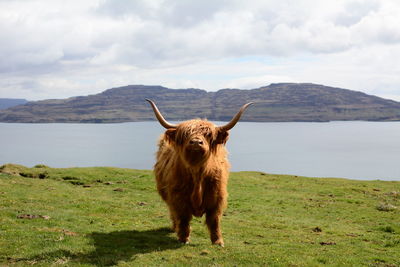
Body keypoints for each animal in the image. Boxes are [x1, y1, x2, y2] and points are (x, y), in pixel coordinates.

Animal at [147, 100, 253, 247]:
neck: (197, 173)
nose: (196, 142)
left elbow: (214, 221)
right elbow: (183, 218)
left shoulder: (217, 198)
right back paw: (175, 228)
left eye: (208, 135)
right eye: (185, 135)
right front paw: (184, 238)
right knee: (173, 213)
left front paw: (218, 241)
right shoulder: (178, 198)